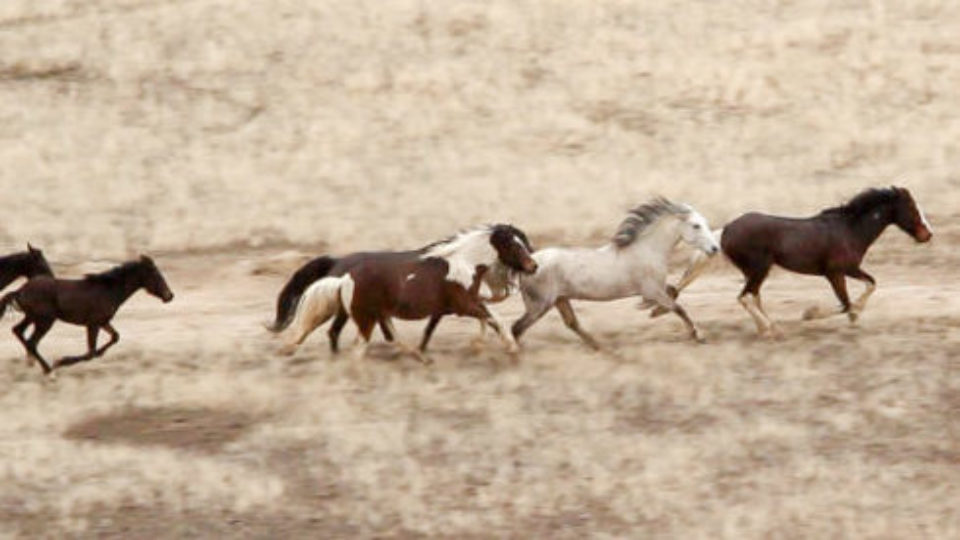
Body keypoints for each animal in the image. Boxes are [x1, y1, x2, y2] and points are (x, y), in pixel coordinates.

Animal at [0, 255, 174, 374]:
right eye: (156, 274)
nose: (169, 296)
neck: (108, 290)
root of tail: (19, 291)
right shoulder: (93, 324)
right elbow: (90, 352)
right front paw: (61, 361)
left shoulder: (103, 322)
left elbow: (115, 337)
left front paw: (100, 353)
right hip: (45, 321)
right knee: (31, 342)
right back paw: (49, 371)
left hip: (32, 317)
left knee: (18, 331)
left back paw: (35, 363)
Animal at [281, 224, 538, 361]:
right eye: (513, 245)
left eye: (523, 242)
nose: (533, 266)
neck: (464, 264)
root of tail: (342, 274)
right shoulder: (464, 305)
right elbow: (493, 318)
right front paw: (507, 346)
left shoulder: (451, 307)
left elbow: (432, 330)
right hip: (363, 317)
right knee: (353, 342)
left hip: (367, 313)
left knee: (356, 334)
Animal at [511, 198, 720, 348]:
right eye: (696, 225)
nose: (715, 248)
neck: (647, 250)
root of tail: (530, 263)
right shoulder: (652, 290)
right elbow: (678, 308)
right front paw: (698, 336)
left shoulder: (656, 289)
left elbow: (674, 293)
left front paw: (653, 310)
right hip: (539, 305)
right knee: (516, 328)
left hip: (560, 299)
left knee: (572, 323)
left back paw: (600, 347)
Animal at [653, 186, 933, 335]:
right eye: (913, 209)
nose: (927, 235)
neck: (849, 230)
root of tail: (726, 230)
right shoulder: (836, 272)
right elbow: (844, 303)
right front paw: (812, 314)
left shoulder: (850, 269)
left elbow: (871, 284)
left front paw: (856, 314)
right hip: (759, 268)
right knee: (745, 297)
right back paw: (770, 330)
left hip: (754, 271)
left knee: (753, 296)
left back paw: (768, 327)